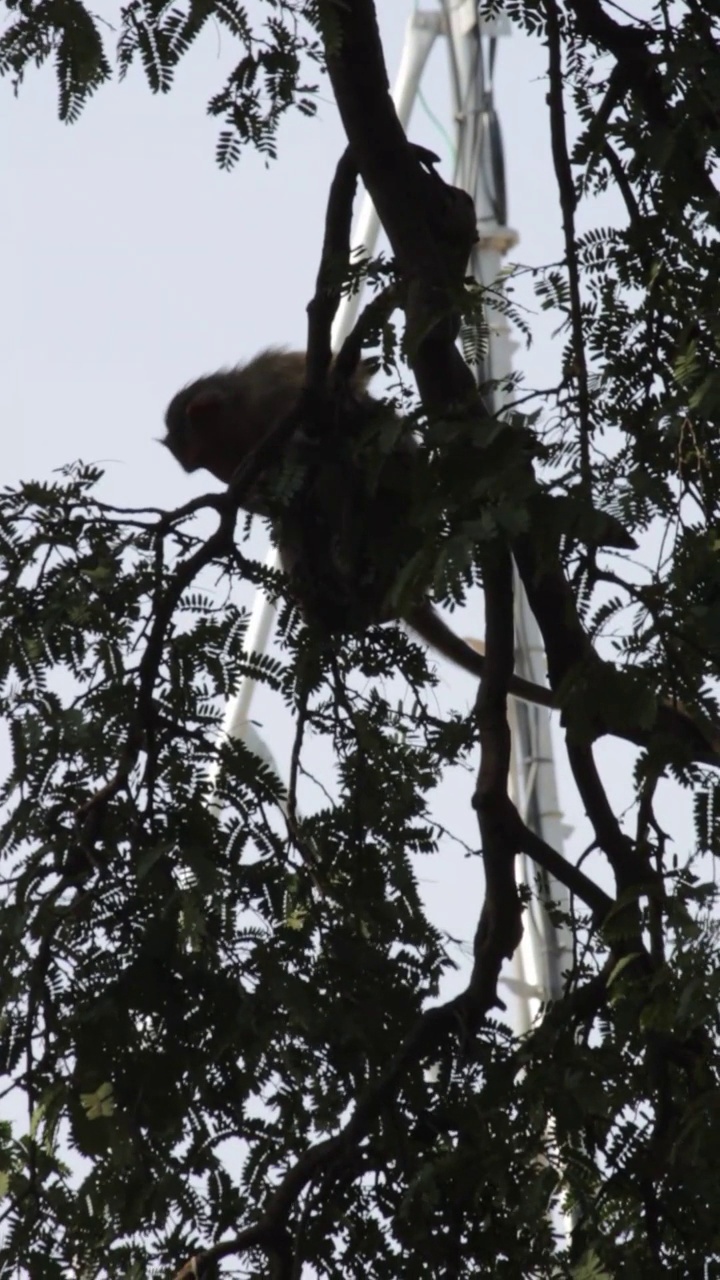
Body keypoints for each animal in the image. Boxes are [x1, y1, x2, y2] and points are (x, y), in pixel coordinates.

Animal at [163, 350, 556, 711]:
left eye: (209, 459)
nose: (226, 478)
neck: (249, 410)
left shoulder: (274, 388)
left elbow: (345, 387)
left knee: (342, 460)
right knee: (301, 511)